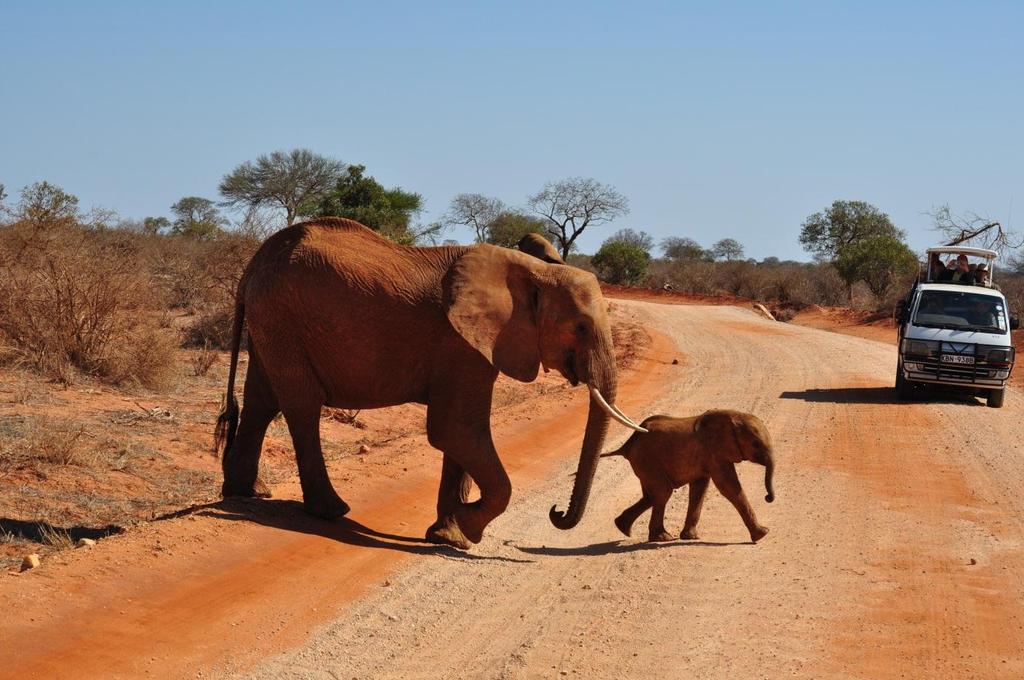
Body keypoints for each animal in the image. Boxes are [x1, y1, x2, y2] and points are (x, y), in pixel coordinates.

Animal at [217, 220, 643, 548]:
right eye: (581, 327)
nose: (556, 511)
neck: (532, 271)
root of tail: (252, 265)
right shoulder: (462, 345)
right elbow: (456, 429)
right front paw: (468, 528)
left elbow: (459, 437)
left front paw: (448, 536)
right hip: (282, 317)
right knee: (301, 405)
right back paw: (330, 511)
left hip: (271, 320)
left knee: (262, 400)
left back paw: (247, 492)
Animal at [598, 409, 774, 540]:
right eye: (756, 444)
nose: (768, 498)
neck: (736, 417)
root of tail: (628, 443)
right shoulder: (715, 452)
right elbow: (728, 486)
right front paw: (762, 534)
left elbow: (699, 488)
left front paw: (690, 537)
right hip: (647, 460)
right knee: (663, 492)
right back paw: (662, 537)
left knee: (650, 496)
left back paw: (622, 527)